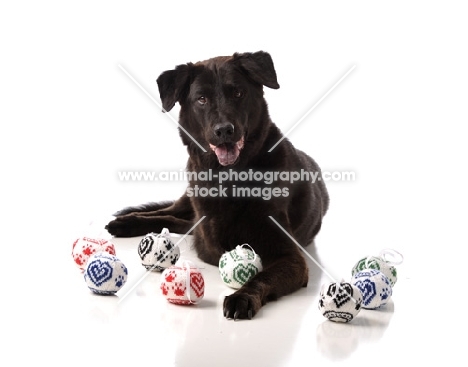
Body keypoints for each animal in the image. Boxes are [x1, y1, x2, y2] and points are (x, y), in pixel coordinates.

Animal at [108, 51, 330, 320]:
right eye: (201, 99)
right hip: (189, 203)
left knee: (177, 221)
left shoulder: (290, 256)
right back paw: (126, 221)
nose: (224, 130)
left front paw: (243, 297)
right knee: (169, 213)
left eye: (238, 93)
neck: (229, 178)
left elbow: (262, 275)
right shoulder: (208, 234)